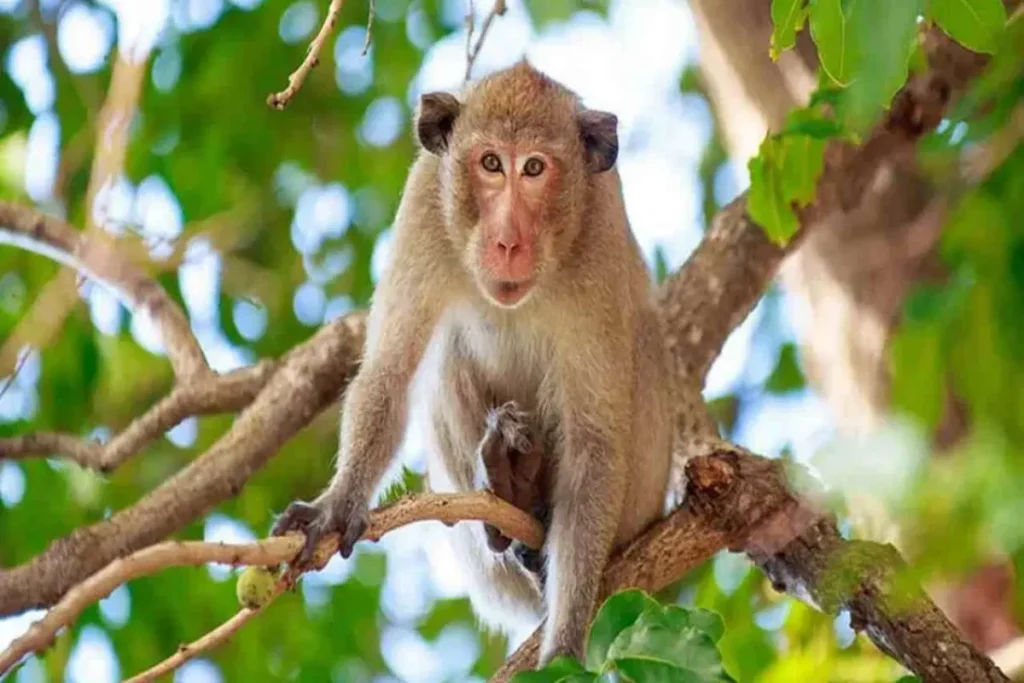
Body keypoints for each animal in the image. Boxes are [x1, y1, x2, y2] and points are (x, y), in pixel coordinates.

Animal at [271, 60, 674, 667]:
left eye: (534, 168)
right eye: (489, 163)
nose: (507, 241)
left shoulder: (600, 232)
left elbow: (595, 440)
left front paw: (564, 644)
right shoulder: (423, 203)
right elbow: (389, 370)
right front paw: (338, 504)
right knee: (444, 357)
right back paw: (509, 491)